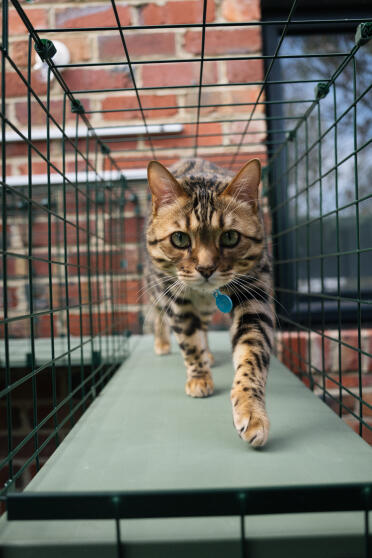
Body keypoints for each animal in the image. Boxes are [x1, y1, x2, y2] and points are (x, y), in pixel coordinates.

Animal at [144, 160, 274, 448]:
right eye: (180, 238)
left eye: (230, 237)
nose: (205, 269)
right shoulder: (176, 298)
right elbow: (189, 341)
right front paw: (199, 377)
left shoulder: (254, 294)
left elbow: (251, 354)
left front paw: (252, 411)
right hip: (156, 286)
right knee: (158, 316)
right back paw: (162, 344)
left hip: (204, 307)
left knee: (203, 325)